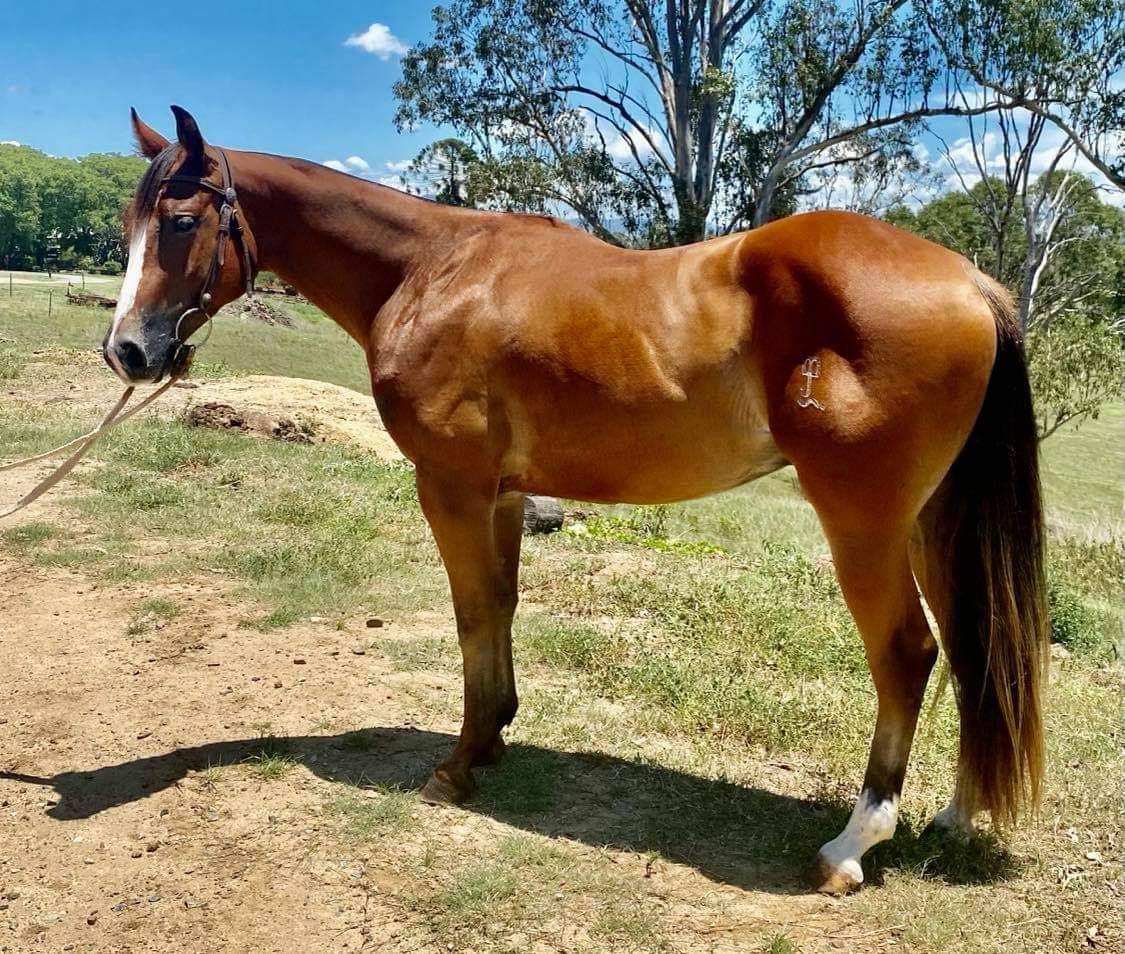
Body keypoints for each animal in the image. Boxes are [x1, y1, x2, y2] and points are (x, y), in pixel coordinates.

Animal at [104, 106, 1048, 894]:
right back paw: (955, 817)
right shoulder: (503, 494)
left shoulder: (451, 486)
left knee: (906, 654)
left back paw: (852, 846)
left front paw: (456, 766)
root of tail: (970, 284)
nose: (128, 352)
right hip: (930, 524)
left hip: (865, 526)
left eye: (181, 222)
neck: (432, 271)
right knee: (974, 651)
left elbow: (471, 612)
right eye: (126, 224)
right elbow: (501, 604)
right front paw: (491, 738)